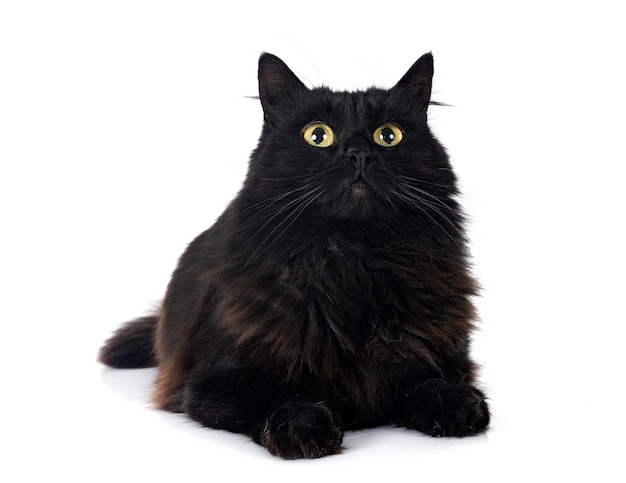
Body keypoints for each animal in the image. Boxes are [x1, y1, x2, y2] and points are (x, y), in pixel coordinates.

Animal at [100, 53, 488, 462]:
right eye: (317, 136)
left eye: (389, 135)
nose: (359, 155)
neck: (351, 263)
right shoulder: (213, 381)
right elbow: (274, 396)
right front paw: (303, 427)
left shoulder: (441, 358)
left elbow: (428, 385)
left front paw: (458, 406)